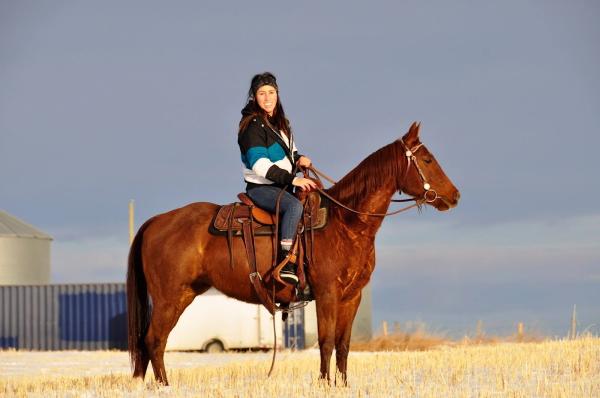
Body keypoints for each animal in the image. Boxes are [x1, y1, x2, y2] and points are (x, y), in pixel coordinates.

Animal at [126, 121, 460, 382]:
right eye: (427, 160)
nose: (454, 195)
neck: (346, 222)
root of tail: (155, 221)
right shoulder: (327, 294)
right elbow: (326, 343)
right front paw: (324, 385)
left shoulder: (351, 297)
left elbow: (344, 345)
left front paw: (342, 385)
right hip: (168, 297)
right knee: (154, 340)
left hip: (183, 294)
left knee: (153, 343)